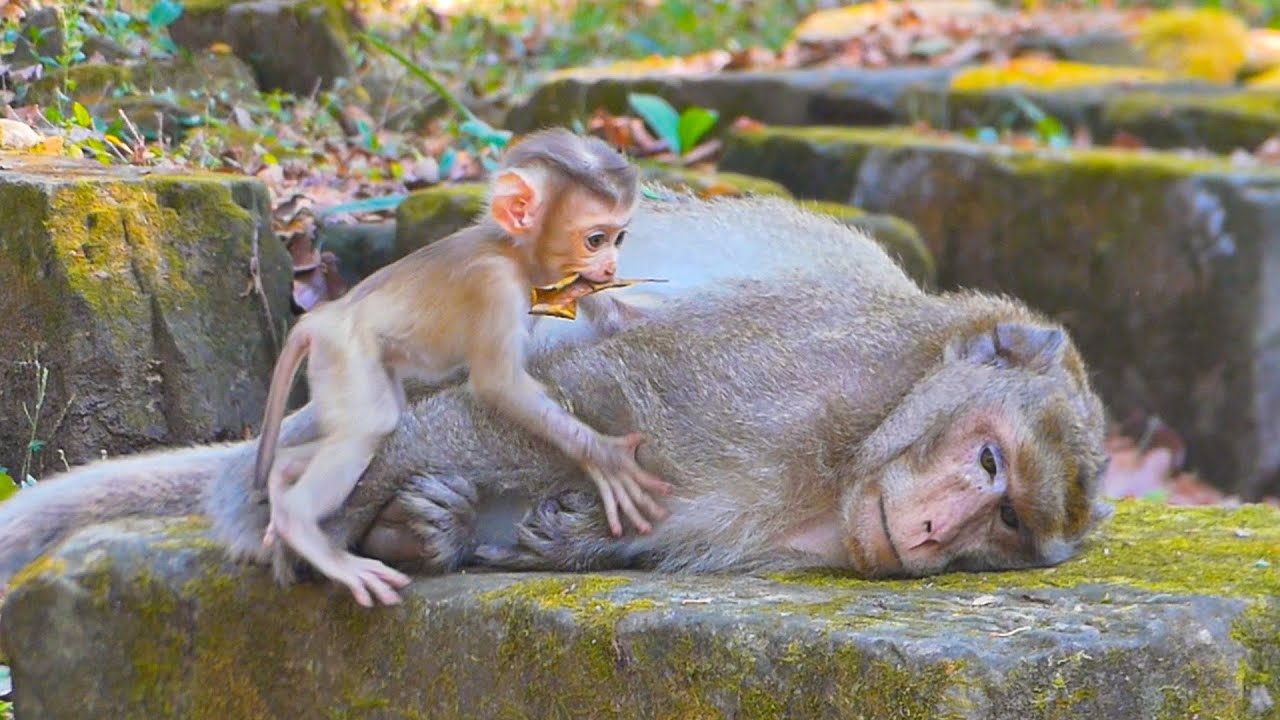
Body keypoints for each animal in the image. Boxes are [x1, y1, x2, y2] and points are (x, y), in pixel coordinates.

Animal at [0, 195, 1113, 593]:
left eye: (1010, 520)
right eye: (986, 460)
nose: (933, 535)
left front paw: (559, 537)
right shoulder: (809, 381)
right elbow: (600, 392)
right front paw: (295, 522)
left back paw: (427, 528)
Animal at [250, 127, 671, 607]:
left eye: (619, 239)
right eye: (596, 239)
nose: (611, 266)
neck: (515, 254)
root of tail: (322, 317)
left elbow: (610, 317)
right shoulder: (494, 285)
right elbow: (498, 384)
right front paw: (604, 458)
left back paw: (283, 478)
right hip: (345, 353)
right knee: (370, 425)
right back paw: (303, 526)